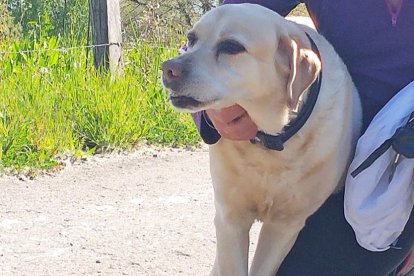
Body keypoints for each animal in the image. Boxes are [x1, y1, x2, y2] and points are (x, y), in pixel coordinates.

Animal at [160, 2, 360, 276]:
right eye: (191, 39)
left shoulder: (284, 226)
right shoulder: (230, 218)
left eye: (231, 47)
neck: (270, 145)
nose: (168, 68)